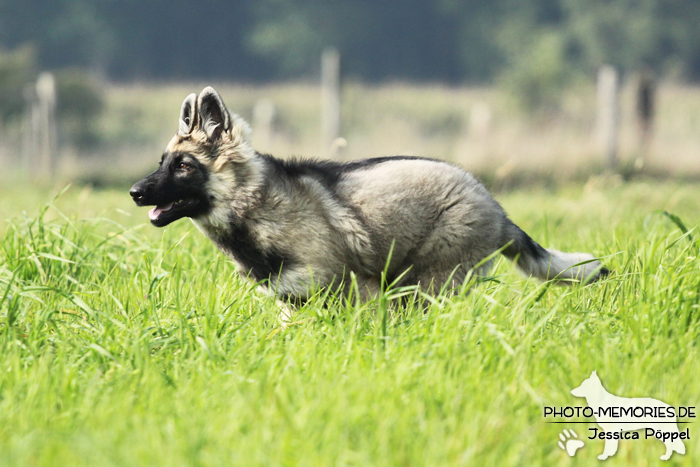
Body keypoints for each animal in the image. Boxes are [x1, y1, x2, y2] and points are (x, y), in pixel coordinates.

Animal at [130, 87, 608, 308]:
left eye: (183, 166)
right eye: (162, 162)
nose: (134, 192)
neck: (254, 203)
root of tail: (495, 205)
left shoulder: (350, 291)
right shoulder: (293, 301)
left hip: (427, 282)